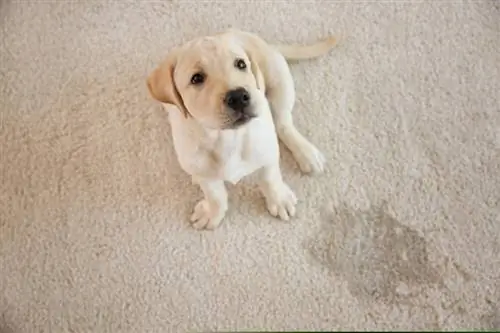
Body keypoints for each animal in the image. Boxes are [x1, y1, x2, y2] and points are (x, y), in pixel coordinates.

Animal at [146, 28, 338, 228]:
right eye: (196, 78)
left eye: (241, 64)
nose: (238, 97)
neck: (227, 138)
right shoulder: (201, 168)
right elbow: (215, 195)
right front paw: (213, 213)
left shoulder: (267, 152)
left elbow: (270, 178)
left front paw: (279, 199)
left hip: (279, 80)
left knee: (283, 123)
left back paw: (307, 153)